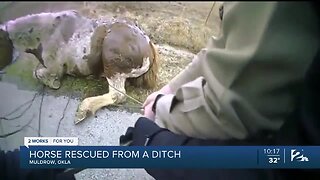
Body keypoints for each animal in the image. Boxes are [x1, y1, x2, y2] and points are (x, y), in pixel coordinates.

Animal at [0, 9, 159, 124]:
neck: (46, 32)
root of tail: (148, 44)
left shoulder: (54, 68)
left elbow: (38, 73)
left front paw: (52, 83)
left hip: (112, 64)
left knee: (118, 95)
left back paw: (84, 109)